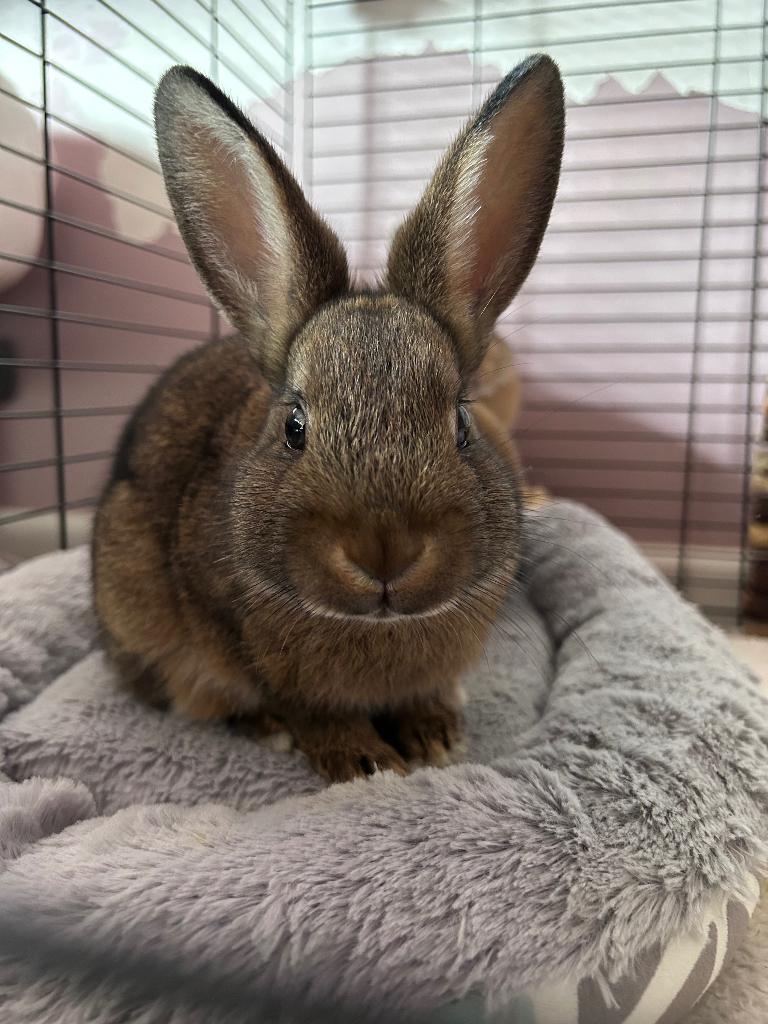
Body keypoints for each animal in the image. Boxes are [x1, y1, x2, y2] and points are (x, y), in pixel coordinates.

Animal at [91, 55, 564, 783]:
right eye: (294, 427)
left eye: (461, 422)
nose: (384, 550)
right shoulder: (248, 645)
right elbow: (310, 708)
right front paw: (364, 762)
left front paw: (434, 736)